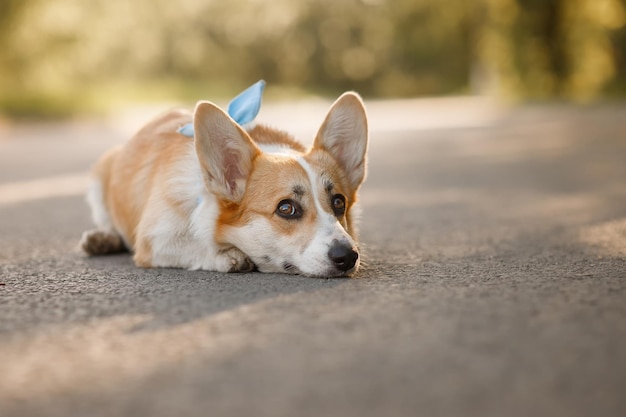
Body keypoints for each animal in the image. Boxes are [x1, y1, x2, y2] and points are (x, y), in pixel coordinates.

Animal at [80, 92, 368, 278]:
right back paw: (101, 239)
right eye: (286, 209)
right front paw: (228, 256)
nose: (348, 256)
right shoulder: (154, 240)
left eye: (339, 202)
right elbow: (195, 247)